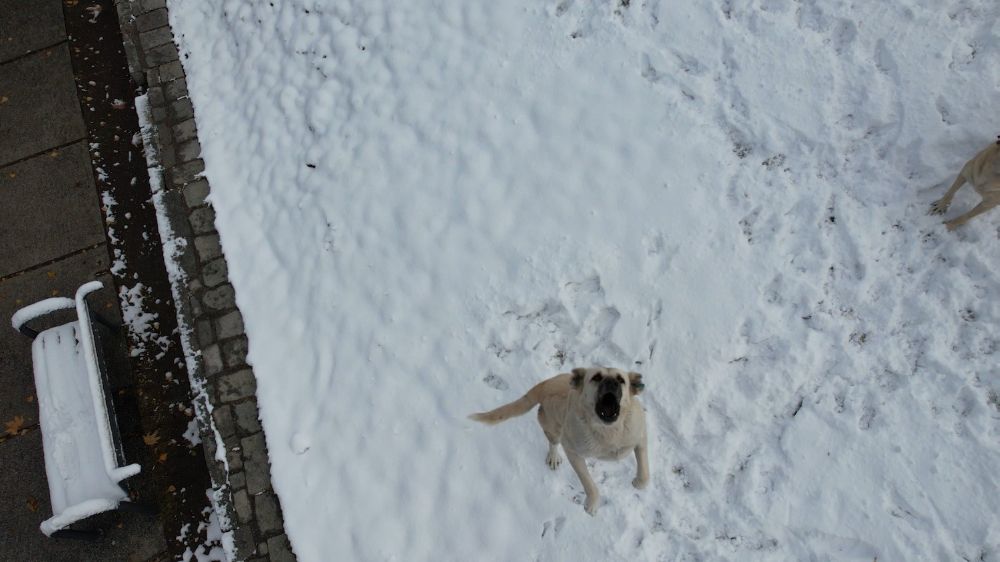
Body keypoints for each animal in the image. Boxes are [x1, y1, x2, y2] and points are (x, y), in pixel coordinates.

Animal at [468, 366, 648, 516]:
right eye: (596, 377)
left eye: (621, 379)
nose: (611, 382)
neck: (608, 431)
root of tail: (545, 385)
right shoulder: (572, 451)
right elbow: (589, 484)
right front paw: (592, 503)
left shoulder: (640, 434)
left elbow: (644, 469)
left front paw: (639, 482)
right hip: (553, 427)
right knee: (553, 443)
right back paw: (553, 457)